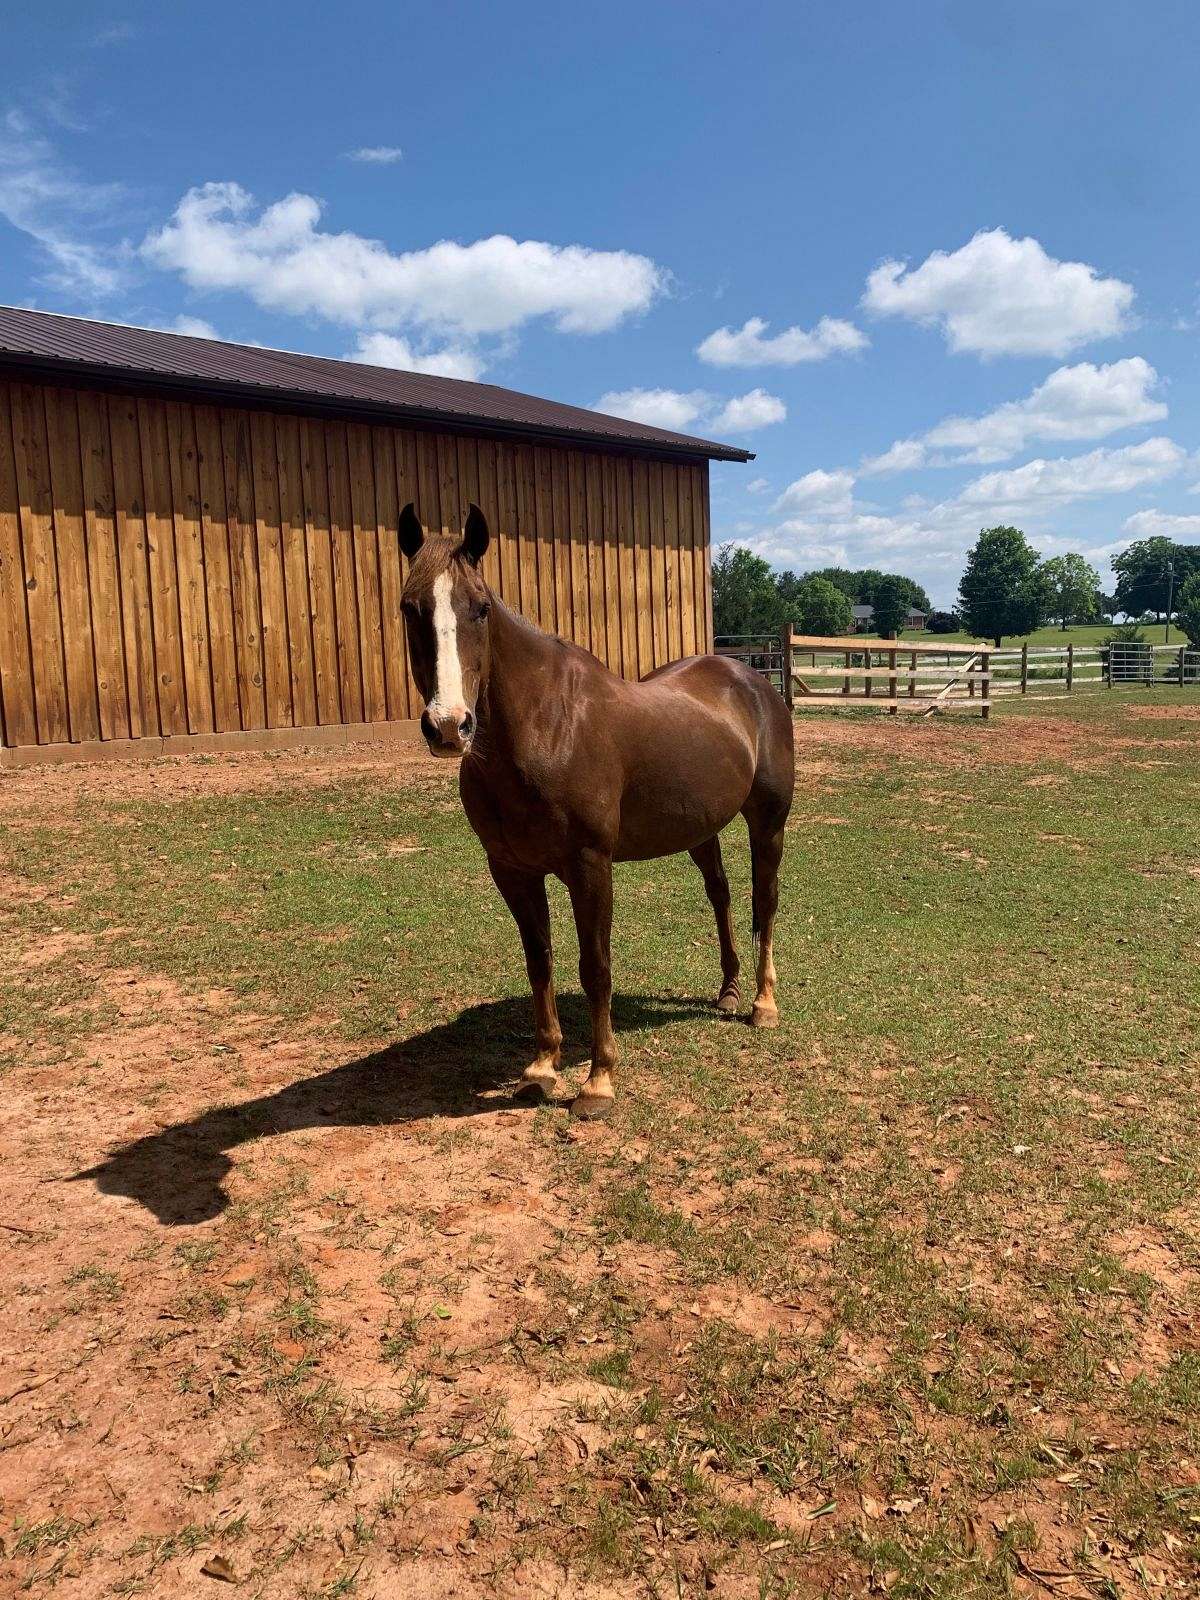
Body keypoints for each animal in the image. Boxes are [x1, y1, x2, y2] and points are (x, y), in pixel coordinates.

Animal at [404, 499, 793, 1113]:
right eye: (408, 607)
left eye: (481, 609)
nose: (449, 726)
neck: (548, 727)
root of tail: (753, 680)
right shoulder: (511, 870)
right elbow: (539, 960)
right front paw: (541, 1067)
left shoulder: (590, 866)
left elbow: (596, 966)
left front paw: (598, 1080)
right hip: (699, 831)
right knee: (722, 897)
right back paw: (729, 990)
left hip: (769, 821)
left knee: (765, 901)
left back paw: (762, 1004)